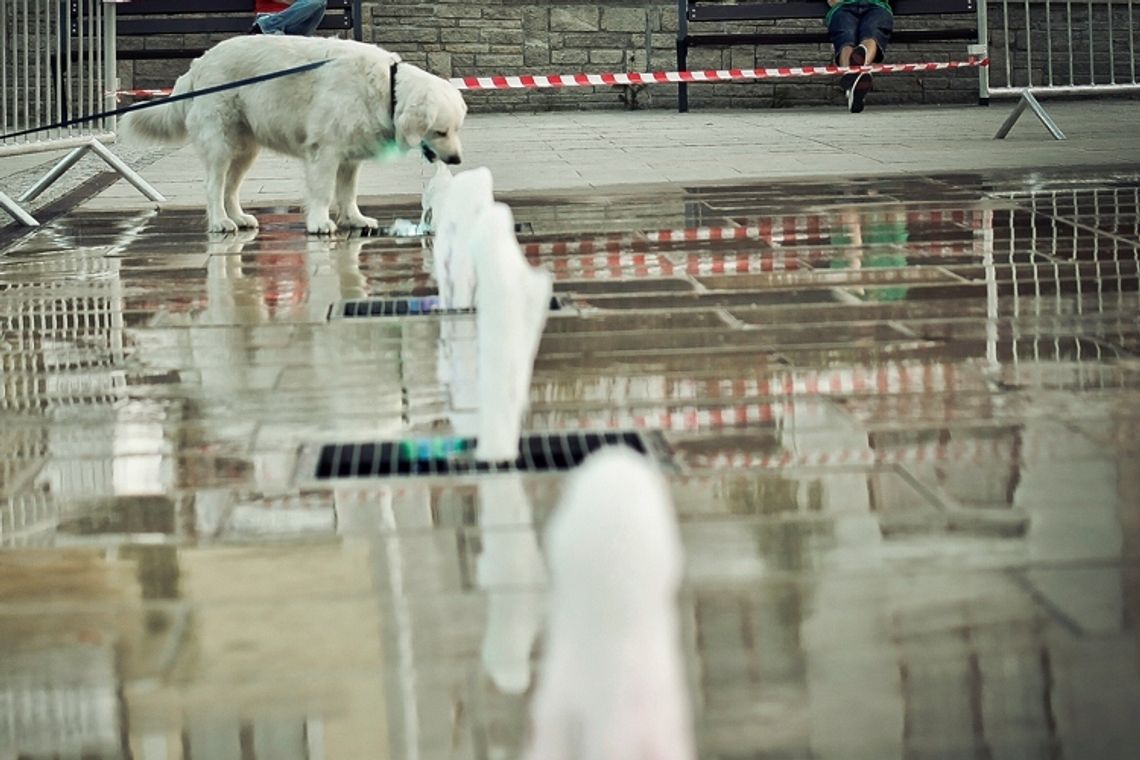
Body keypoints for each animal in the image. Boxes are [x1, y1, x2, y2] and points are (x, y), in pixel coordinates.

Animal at [122, 36, 465, 232]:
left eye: (456, 129)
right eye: (440, 131)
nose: (457, 159)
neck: (386, 88)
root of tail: (198, 63)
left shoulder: (349, 158)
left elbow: (348, 193)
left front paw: (354, 219)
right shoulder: (325, 152)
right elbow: (323, 192)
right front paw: (319, 223)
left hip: (245, 150)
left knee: (231, 188)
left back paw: (240, 219)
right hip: (220, 144)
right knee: (214, 187)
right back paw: (221, 222)